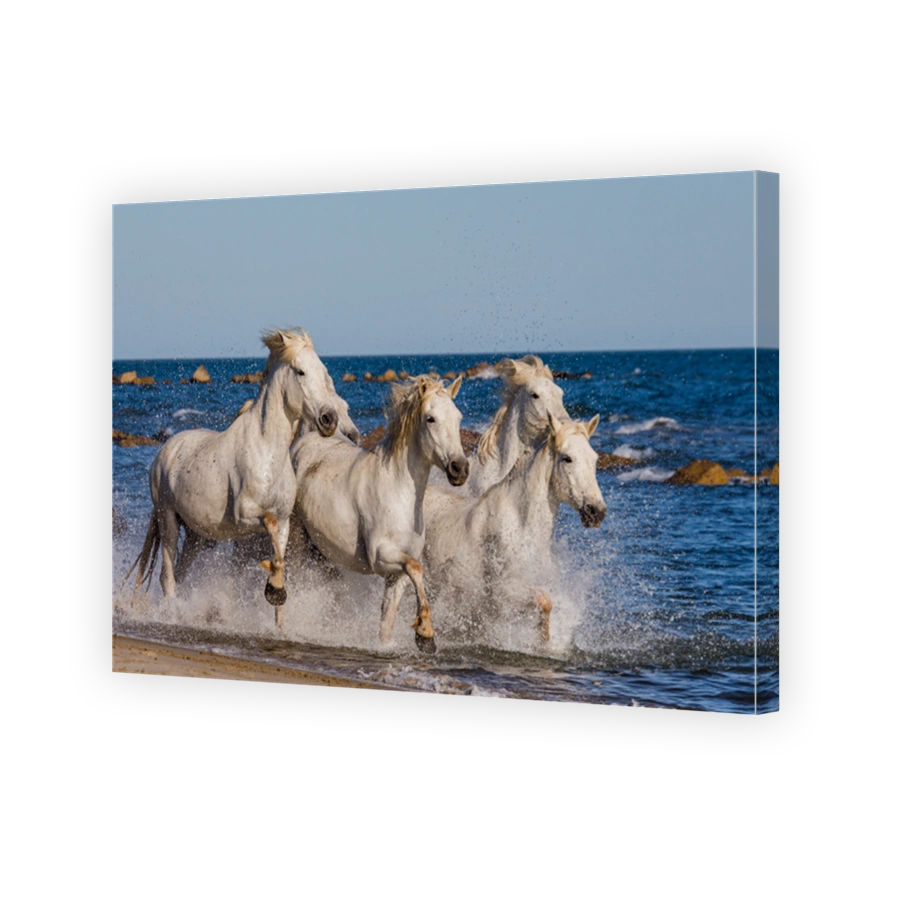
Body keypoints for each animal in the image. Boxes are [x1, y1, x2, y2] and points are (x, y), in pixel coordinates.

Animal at [124, 328, 342, 627]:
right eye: (300, 371)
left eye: (324, 372)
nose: (329, 419)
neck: (268, 452)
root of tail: (164, 450)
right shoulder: (245, 514)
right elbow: (269, 526)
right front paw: (274, 589)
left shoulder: (286, 521)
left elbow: (280, 558)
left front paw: (279, 620)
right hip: (167, 519)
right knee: (167, 577)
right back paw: (174, 617)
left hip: (194, 536)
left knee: (178, 574)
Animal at [287, 374, 469, 653]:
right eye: (431, 418)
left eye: (458, 417)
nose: (460, 468)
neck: (399, 491)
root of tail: (305, 441)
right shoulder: (381, 557)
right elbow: (416, 568)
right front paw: (426, 635)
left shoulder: (397, 576)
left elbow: (387, 620)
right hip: (296, 536)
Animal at [422, 412, 606, 645]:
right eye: (567, 458)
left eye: (594, 459)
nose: (596, 511)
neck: (522, 527)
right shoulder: (501, 593)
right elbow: (544, 600)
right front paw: (543, 641)